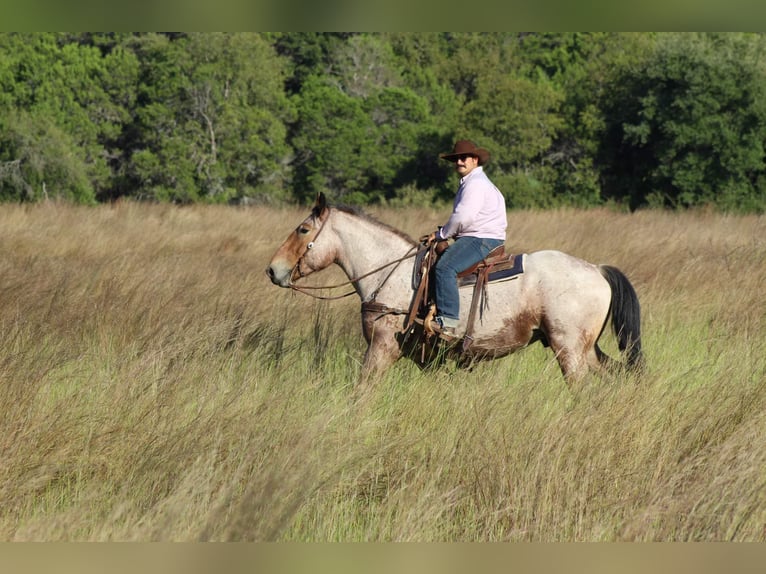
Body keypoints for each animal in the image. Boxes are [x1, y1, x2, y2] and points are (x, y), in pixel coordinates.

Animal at [266, 192, 643, 389]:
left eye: (303, 229)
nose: (273, 270)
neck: (389, 271)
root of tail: (596, 269)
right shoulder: (429, 360)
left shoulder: (382, 347)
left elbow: (363, 390)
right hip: (585, 349)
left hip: (569, 350)